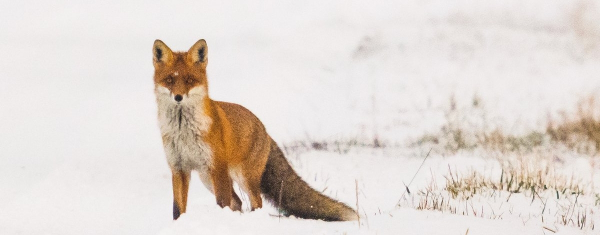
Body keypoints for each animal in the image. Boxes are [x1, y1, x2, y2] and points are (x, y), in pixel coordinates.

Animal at [152, 39, 356, 222]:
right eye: (169, 80)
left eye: (189, 80)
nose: (178, 97)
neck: (183, 131)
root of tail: (265, 130)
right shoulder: (178, 168)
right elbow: (177, 209)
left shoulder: (217, 168)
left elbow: (222, 203)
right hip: (207, 178)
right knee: (238, 202)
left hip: (242, 177)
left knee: (255, 202)